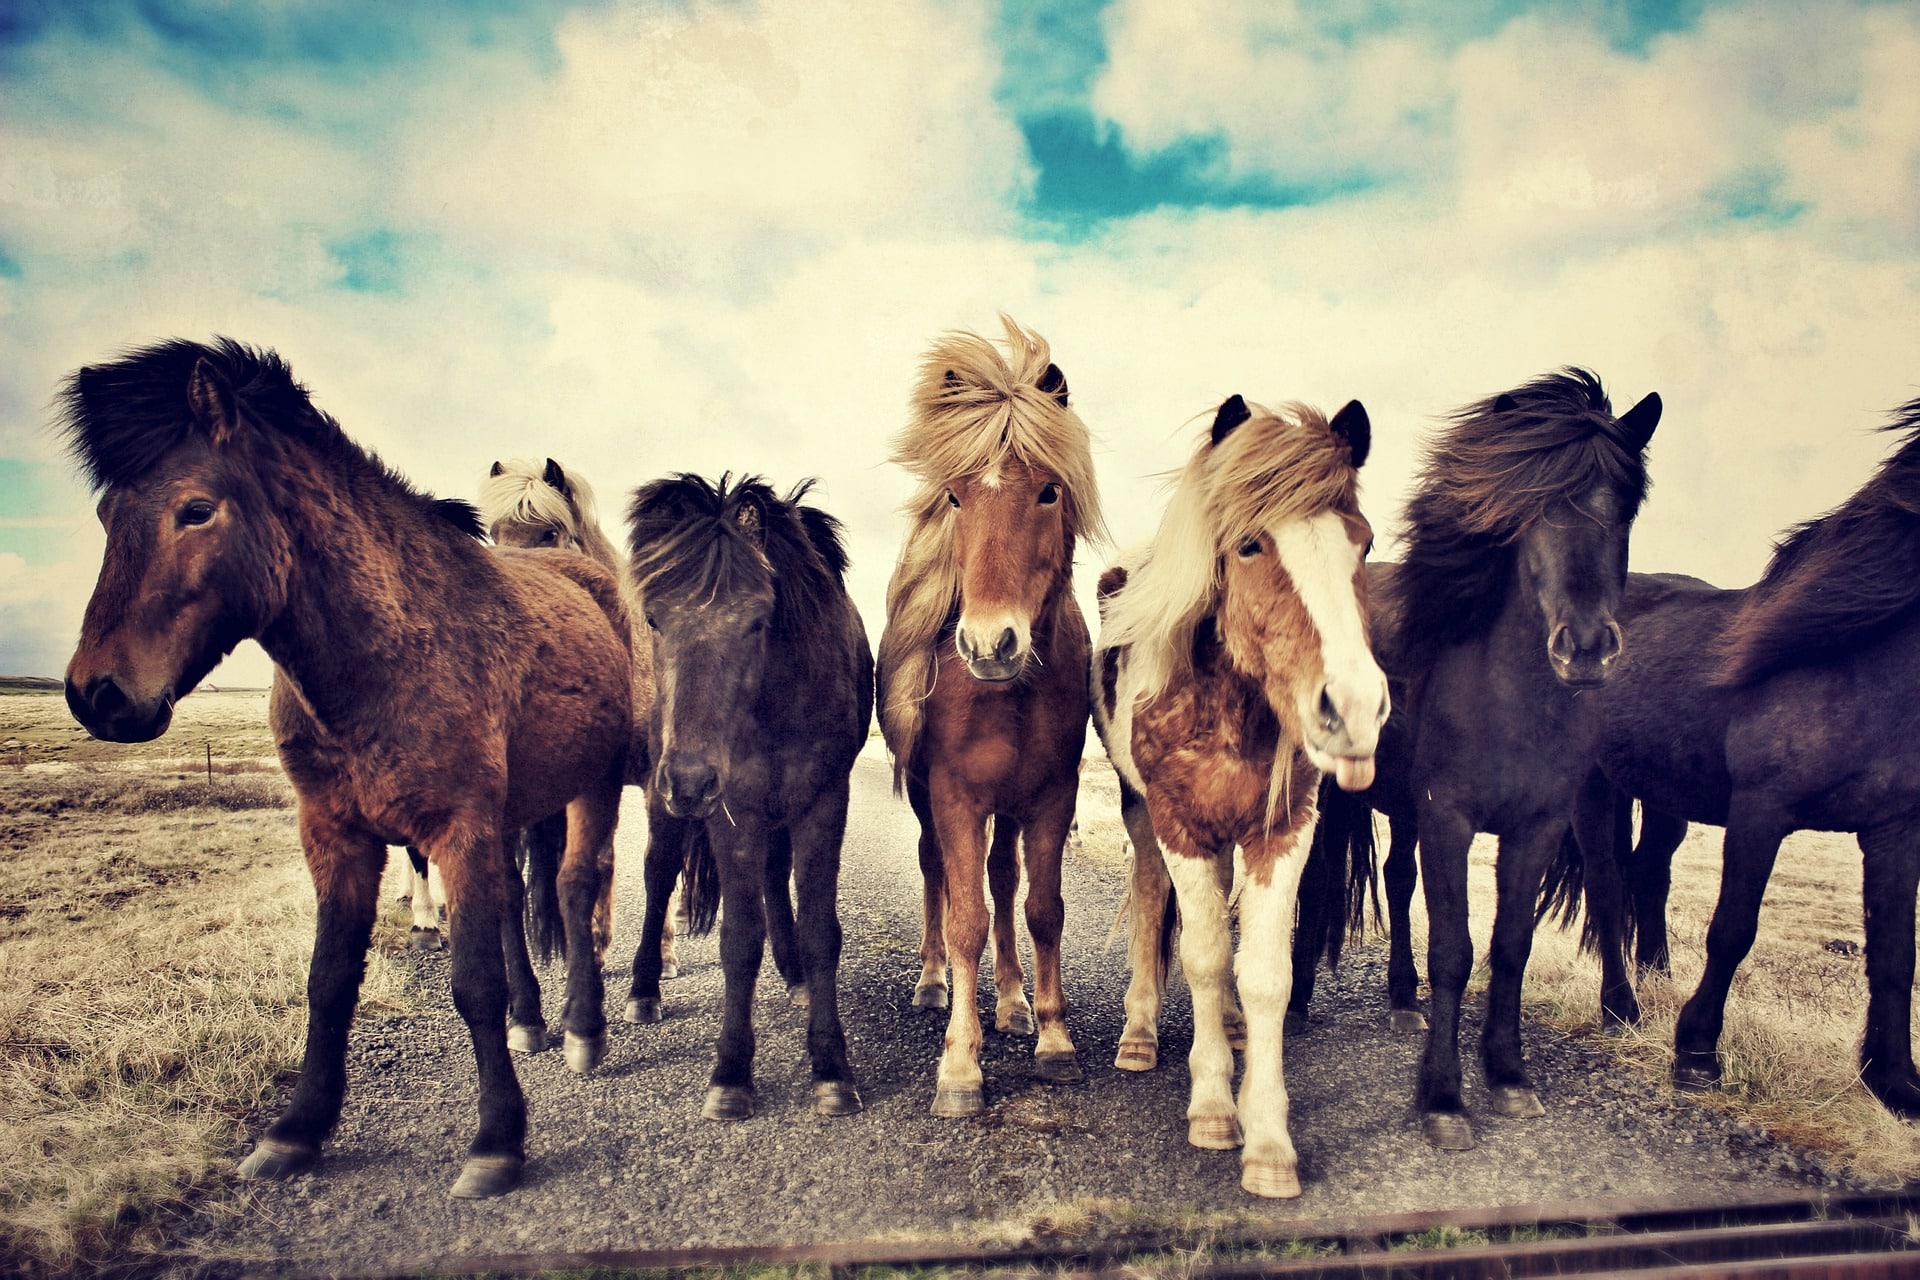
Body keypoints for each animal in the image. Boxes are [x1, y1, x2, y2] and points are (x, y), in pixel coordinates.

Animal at [58, 339, 629, 1205]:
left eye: (195, 509)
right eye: (103, 516)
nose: (97, 695)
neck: (380, 655)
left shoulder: (457, 826)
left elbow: (474, 984)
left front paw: (497, 1140)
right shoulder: (335, 835)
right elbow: (328, 982)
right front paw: (298, 1129)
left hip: (594, 784)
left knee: (572, 884)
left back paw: (584, 1029)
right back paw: (537, 1021)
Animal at [622, 470, 879, 1120]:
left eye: (759, 620)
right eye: (655, 619)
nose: (690, 781)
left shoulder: (822, 802)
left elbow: (819, 930)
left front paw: (831, 1068)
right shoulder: (733, 809)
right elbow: (739, 940)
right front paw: (731, 1075)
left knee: (773, 877)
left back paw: (794, 976)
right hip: (667, 804)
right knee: (659, 875)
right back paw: (642, 991)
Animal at [875, 314, 1105, 1113]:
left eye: (1048, 492)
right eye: (954, 496)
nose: (989, 643)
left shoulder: (1053, 795)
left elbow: (1040, 909)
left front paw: (1055, 1038)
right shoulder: (953, 796)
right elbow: (966, 917)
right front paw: (959, 1066)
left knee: (1004, 879)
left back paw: (1010, 1002)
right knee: (938, 874)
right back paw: (933, 982)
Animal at [1090, 393, 1390, 1205]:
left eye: (1363, 542)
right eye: (1251, 545)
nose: (1353, 708)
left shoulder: (1283, 830)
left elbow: (1262, 975)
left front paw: (1268, 1140)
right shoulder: (1179, 824)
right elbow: (1199, 956)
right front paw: (1214, 1109)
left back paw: (1223, 1026)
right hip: (1141, 816)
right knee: (1153, 903)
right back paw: (1140, 1035)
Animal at [1543, 404, 1920, 1113]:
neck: (1853, 664)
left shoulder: (1895, 830)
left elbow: (1894, 953)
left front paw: (1894, 1081)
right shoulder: (1760, 812)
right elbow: (1733, 928)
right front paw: (1696, 1051)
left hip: (1663, 794)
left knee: (1648, 872)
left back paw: (1656, 977)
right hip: (1594, 786)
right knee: (1607, 883)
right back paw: (1621, 1007)